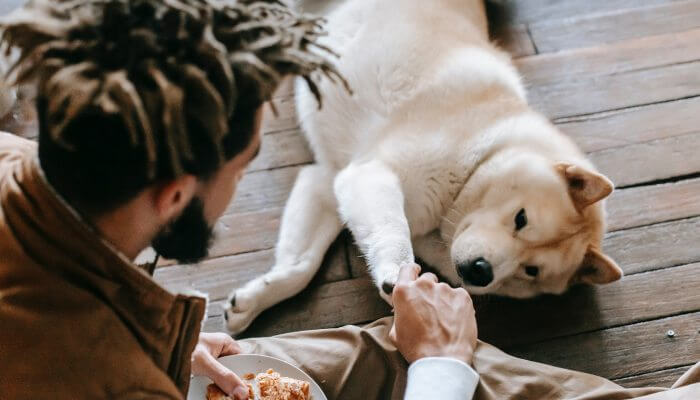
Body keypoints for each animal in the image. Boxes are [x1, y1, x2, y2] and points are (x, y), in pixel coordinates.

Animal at [226, 0, 624, 332]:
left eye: (531, 271)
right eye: (521, 219)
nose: (481, 272)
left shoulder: (328, 180)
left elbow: (301, 265)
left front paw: (253, 300)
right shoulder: (370, 174)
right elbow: (392, 229)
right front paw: (396, 271)